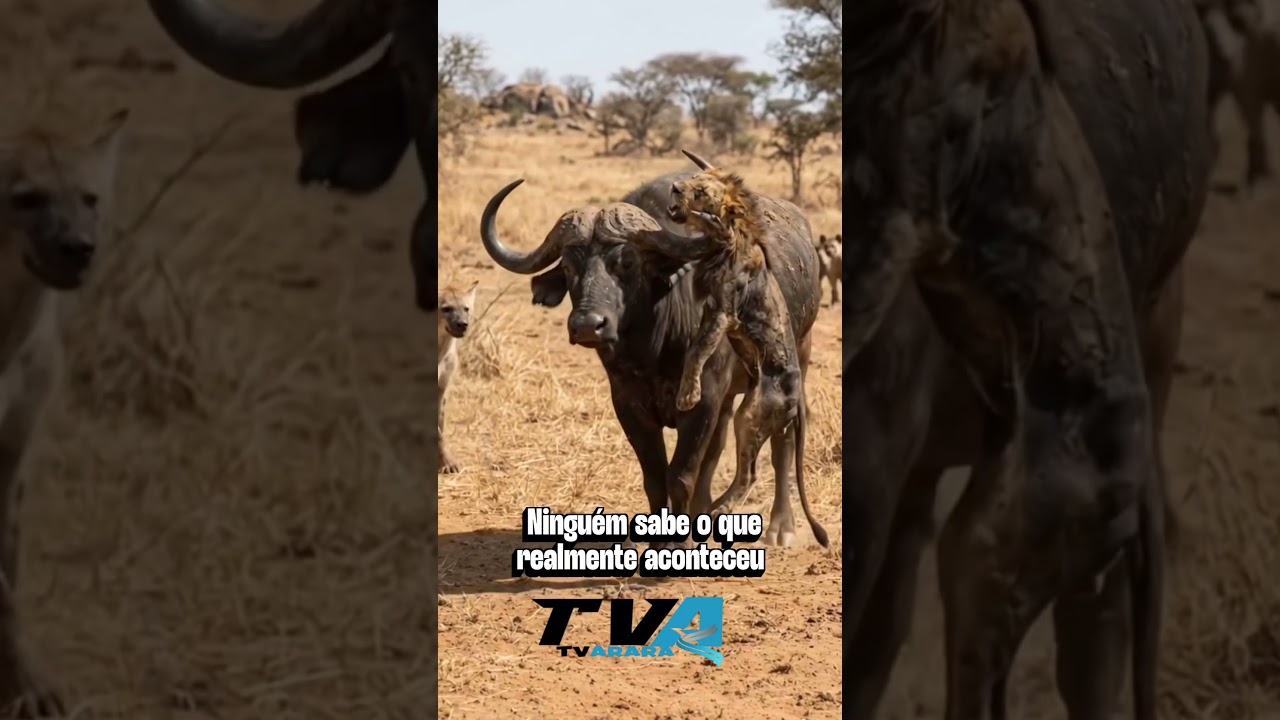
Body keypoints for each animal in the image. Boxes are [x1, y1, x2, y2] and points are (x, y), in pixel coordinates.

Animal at [477, 159, 827, 547]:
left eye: (627, 262)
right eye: (569, 266)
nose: (587, 325)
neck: (651, 349)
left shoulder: (703, 401)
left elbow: (681, 475)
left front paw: (679, 542)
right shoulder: (629, 405)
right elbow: (656, 477)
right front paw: (661, 540)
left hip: (796, 359)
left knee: (782, 441)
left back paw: (781, 526)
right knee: (719, 449)